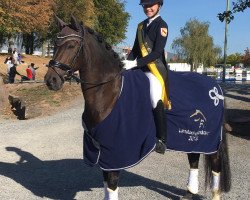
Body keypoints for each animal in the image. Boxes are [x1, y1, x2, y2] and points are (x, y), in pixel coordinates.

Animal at [43, 16, 230, 200]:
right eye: (55, 44)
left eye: (71, 45)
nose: (50, 80)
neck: (110, 91)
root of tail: (215, 85)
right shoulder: (103, 152)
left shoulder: (115, 154)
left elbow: (111, 187)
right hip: (192, 139)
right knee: (193, 159)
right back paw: (189, 193)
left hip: (210, 140)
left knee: (215, 166)